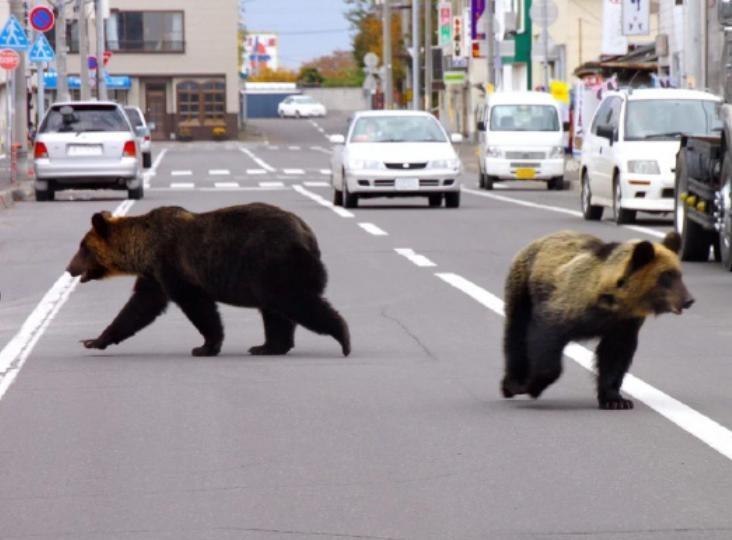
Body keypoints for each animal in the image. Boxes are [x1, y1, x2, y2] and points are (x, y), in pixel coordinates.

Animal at [65, 203, 351, 357]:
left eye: (83, 247)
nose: (69, 268)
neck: (143, 250)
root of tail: (307, 234)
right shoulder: (154, 275)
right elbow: (139, 308)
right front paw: (94, 340)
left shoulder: (173, 266)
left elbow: (197, 306)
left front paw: (205, 346)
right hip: (268, 274)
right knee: (275, 311)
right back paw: (267, 346)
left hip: (274, 263)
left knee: (295, 301)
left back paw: (343, 338)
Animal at [501, 230, 693, 410]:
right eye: (666, 275)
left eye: (679, 274)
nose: (689, 300)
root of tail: (541, 239)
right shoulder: (566, 306)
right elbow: (545, 339)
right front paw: (532, 386)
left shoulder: (623, 324)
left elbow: (615, 356)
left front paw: (616, 400)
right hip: (523, 286)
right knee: (516, 331)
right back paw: (511, 383)